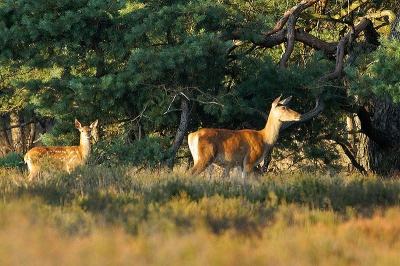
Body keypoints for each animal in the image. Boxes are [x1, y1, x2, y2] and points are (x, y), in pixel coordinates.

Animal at [188, 95, 322, 179]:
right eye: (284, 107)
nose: (299, 115)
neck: (264, 139)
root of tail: (191, 136)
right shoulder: (249, 160)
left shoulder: (240, 164)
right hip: (206, 156)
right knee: (191, 173)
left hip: (196, 157)